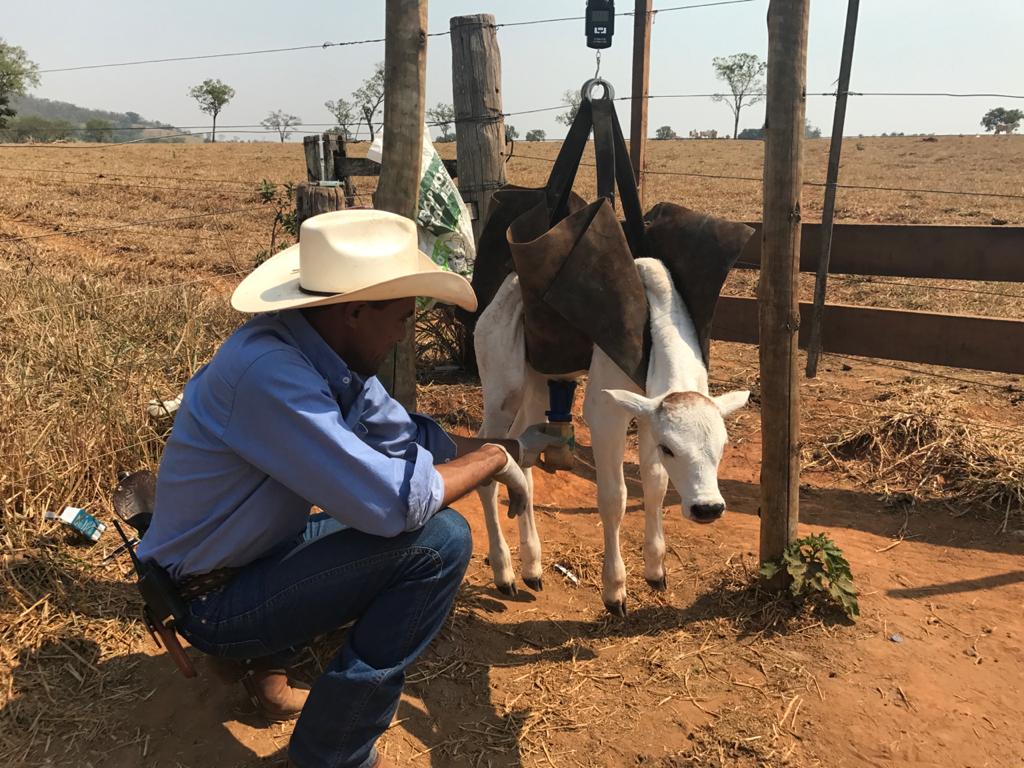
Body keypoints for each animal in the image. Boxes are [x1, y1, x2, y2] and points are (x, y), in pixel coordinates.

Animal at [475, 260, 749, 618]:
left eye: (722, 447)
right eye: (670, 448)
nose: (707, 508)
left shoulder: (648, 415)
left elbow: (656, 483)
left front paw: (655, 571)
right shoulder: (606, 416)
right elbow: (614, 498)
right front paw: (615, 591)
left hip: (536, 386)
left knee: (523, 463)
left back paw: (532, 568)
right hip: (501, 392)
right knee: (489, 461)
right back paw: (504, 571)